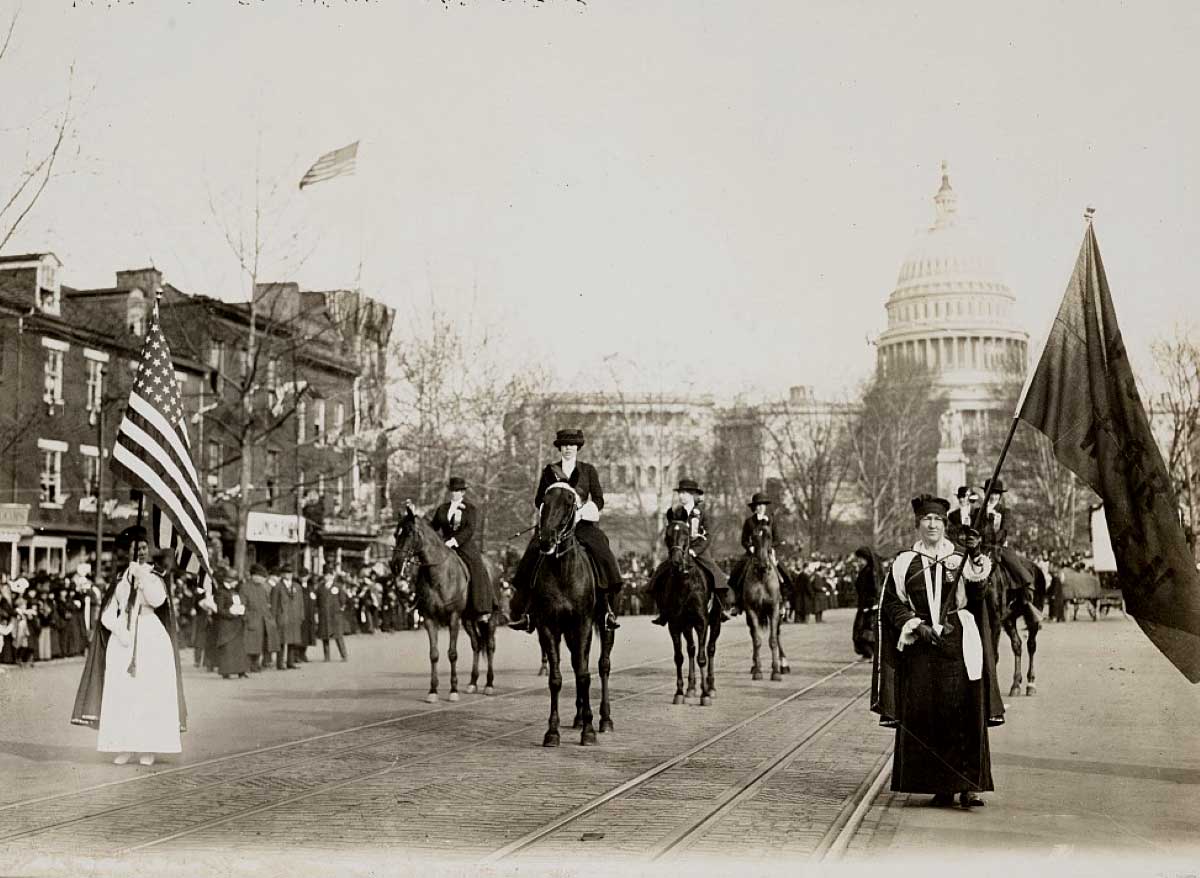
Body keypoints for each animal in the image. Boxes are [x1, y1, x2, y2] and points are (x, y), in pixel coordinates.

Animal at [393, 503, 496, 705]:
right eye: (395, 533)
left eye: (409, 532)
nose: (395, 564)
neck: (439, 574)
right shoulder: (429, 619)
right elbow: (434, 654)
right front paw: (433, 691)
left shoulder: (453, 618)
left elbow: (452, 653)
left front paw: (453, 690)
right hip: (468, 619)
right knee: (476, 644)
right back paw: (473, 682)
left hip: (488, 618)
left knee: (489, 645)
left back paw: (489, 684)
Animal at [530, 484, 614, 743]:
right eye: (544, 502)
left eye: (569, 503)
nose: (546, 539)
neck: (563, 571)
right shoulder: (548, 626)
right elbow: (556, 678)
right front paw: (552, 731)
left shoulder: (583, 623)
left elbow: (585, 675)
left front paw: (589, 731)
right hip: (568, 634)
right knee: (578, 665)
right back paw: (578, 717)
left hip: (604, 625)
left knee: (603, 665)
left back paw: (604, 719)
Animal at [662, 518, 715, 705]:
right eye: (667, 535)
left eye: (686, 533)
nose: (676, 561)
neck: (685, 583)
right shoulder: (675, 624)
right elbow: (679, 657)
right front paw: (679, 692)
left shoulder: (702, 622)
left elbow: (702, 657)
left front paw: (705, 695)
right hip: (686, 626)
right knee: (691, 649)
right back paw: (691, 688)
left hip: (715, 623)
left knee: (710, 649)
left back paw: (711, 687)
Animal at [739, 520, 787, 681]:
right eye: (753, 537)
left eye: (769, 536)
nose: (762, 564)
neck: (761, 576)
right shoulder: (751, 610)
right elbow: (757, 640)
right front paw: (758, 670)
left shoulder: (774, 609)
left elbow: (773, 640)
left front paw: (776, 671)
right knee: (753, 635)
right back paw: (755, 666)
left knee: (777, 634)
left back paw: (783, 664)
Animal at [984, 549, 1041, 700]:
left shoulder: (995, 620)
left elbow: (993, 654)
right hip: (1009, 619)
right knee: (1017, 645)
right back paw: (1015, 685)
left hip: (1031, 618)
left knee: (1031, 645)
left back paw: (1031, 684)